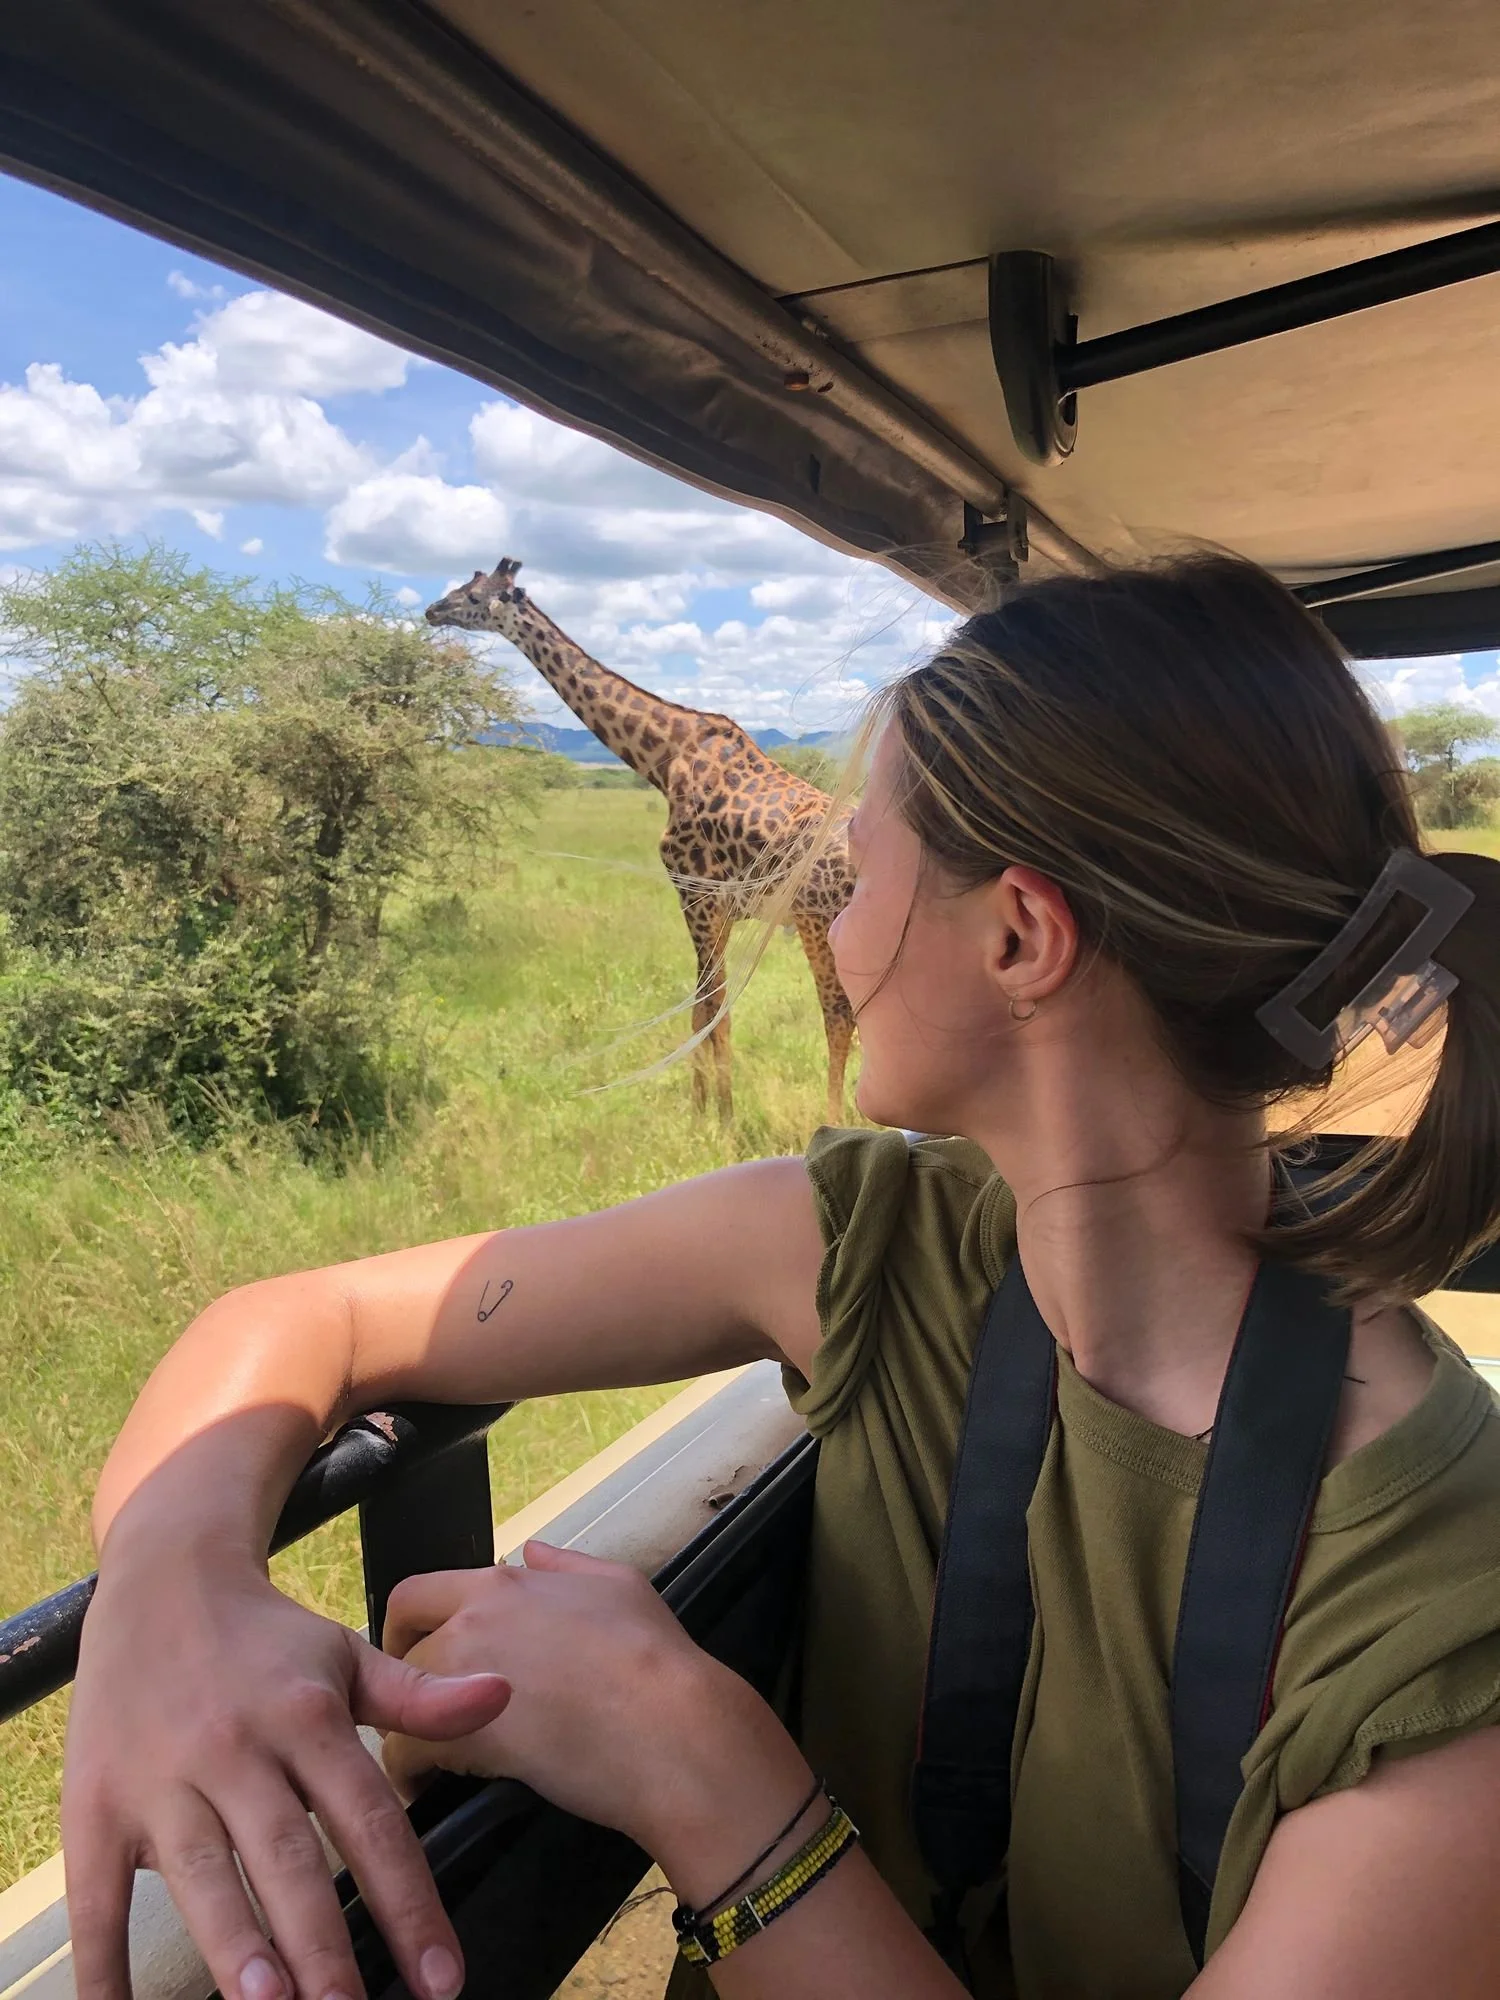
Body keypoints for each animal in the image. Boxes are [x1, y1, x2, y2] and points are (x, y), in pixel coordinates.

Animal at [426, 558, 855, 1123]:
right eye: (463, 585)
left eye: (474, 596)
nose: (433, 610)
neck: (663, 759)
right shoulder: (716, 910)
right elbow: (700, 1009)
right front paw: (701, 1110)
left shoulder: (697, 896)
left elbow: (713, 1009)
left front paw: (722, 1119)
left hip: (817, 920)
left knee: (838, 1014)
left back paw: (834, 1121)